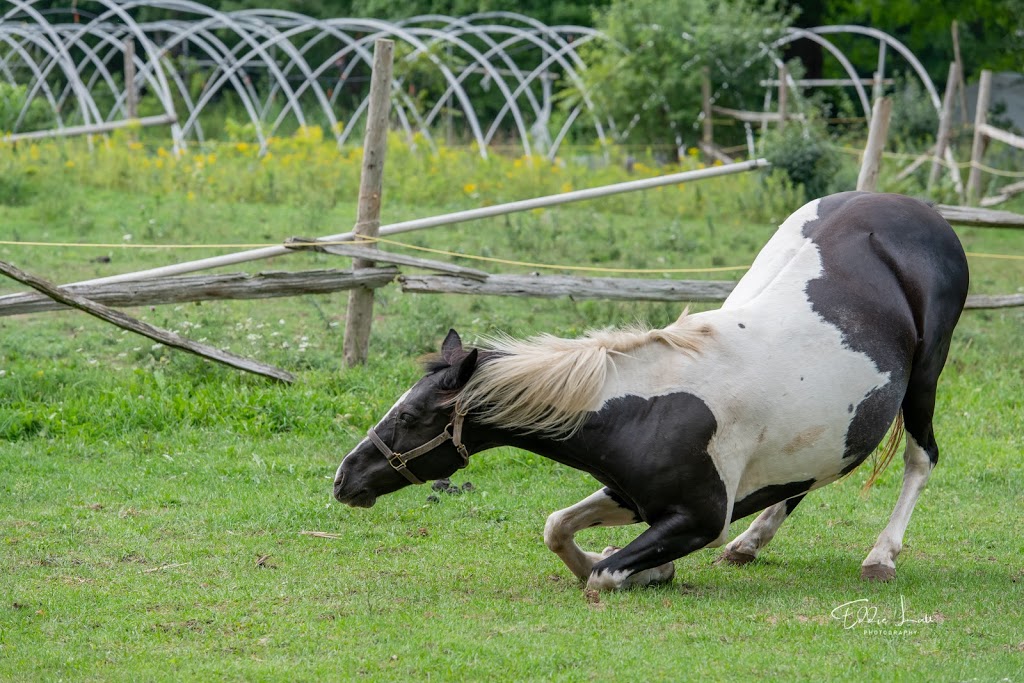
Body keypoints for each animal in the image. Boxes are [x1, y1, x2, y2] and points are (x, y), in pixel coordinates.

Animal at [333, 189, 966, 589]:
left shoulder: (699, 519)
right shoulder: (631, 495)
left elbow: (602, 576)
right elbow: (557, 528)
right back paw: (750, 543)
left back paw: (881, 556)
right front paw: (635, 562)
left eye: (410, 417)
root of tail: (917, 209)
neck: (648, 408)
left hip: (925, 379)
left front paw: (635, 567)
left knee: (921, 457)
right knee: (803, 479)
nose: (343, 479)